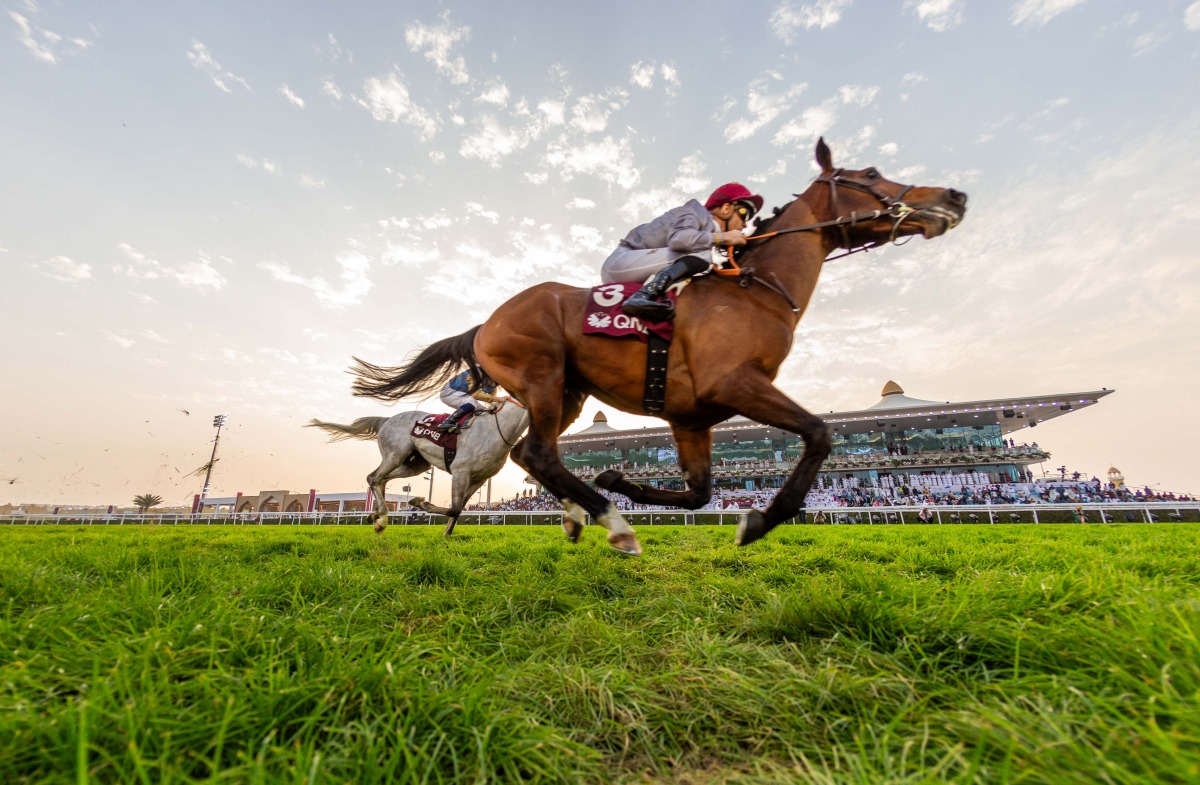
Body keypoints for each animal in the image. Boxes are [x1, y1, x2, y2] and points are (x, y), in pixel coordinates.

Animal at [307, 403, 528, 537]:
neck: (497, 429)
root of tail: (386, 419)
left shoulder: (479, 479)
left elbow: (459, 509)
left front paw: (446, 535)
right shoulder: (461, 471)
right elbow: (454, 508)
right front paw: (419, 502)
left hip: (415, 464)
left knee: (381, 478)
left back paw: (375, 515)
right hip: (395, 454)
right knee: (374, 477)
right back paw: (382, 518)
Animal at [350, 142, 964, 559]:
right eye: (870, 174)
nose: (953, 195)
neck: (756, 290)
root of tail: (488, 321)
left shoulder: (692, 417)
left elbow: (698, 495)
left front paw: (620, 481)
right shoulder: (735, 384)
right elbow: (819, 434)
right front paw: (757, 522)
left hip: (568, 393)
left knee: (535, 455)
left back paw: (584, 513)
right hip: (542, 378)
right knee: (537, 455)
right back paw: (611, 523)